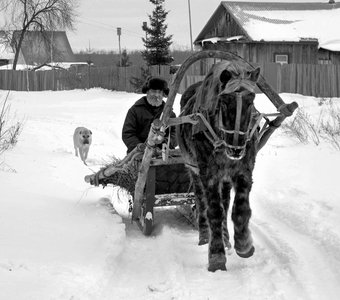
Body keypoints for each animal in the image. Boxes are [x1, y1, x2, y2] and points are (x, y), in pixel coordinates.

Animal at [177, 60, 262, 272]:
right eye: (224, 100)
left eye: (251, 100)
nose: (236, 148)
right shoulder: (208, 174)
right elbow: (214, 211)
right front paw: (216, 256)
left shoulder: (244, 170)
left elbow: (240, 209)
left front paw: (243, 244)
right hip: (194, 170)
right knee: (201, 202)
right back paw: (204, 237)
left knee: (225, 202)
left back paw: (227, 239)